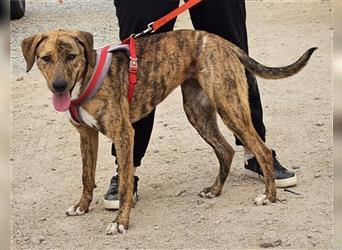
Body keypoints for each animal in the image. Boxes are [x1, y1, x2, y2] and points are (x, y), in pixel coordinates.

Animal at [20, 28, 316, 234]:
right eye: (45, 58)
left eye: (71, 56)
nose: (59, 86)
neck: (86, 78)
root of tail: (222, 41)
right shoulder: (86, 136)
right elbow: (86, 176)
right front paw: (82, 206)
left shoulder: (124, 134)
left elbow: (125, 184)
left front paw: (121, 222)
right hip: (198, 112)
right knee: (226, 150)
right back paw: (214, 190)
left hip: (230, 106)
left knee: (262, 150)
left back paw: (269, 196)